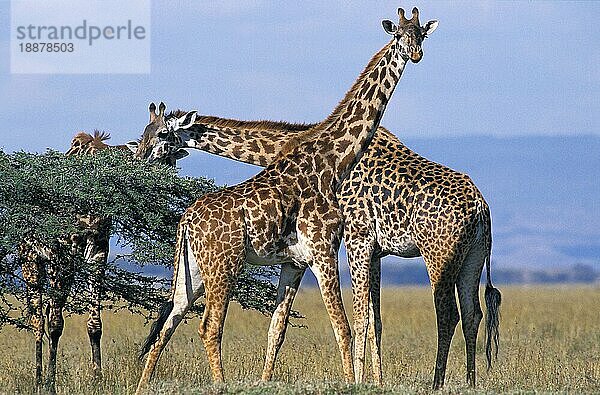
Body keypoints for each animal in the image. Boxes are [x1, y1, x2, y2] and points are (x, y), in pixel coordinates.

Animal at [136, 12, 502, 390]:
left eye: (160, 134)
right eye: (399, 35)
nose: (138, 159)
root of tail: (482, 207)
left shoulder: (332, 250)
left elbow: (329, 324)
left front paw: (359, 380)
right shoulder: (349, 248)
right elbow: (358, 323)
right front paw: (362, 381)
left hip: (447, 255)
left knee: (456, 314)